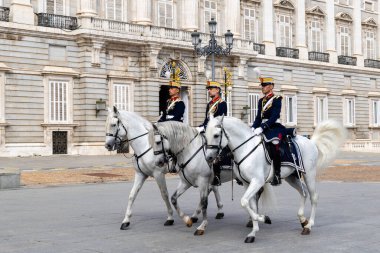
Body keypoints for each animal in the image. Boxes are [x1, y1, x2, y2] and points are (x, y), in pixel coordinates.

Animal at [205, 116, 348, 243]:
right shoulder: (247, 183)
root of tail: (311, 141)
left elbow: (244, 202)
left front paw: (264, 218)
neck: (245, 148)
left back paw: (309, 225)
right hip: (292, 177)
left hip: (309, 174)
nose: (209, 158)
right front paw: (253, 232)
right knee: (304, 192)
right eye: (205, 135)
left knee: (314, 196)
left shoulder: (257, 181)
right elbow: (250, 204)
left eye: (216, 135)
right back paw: (302, 219)